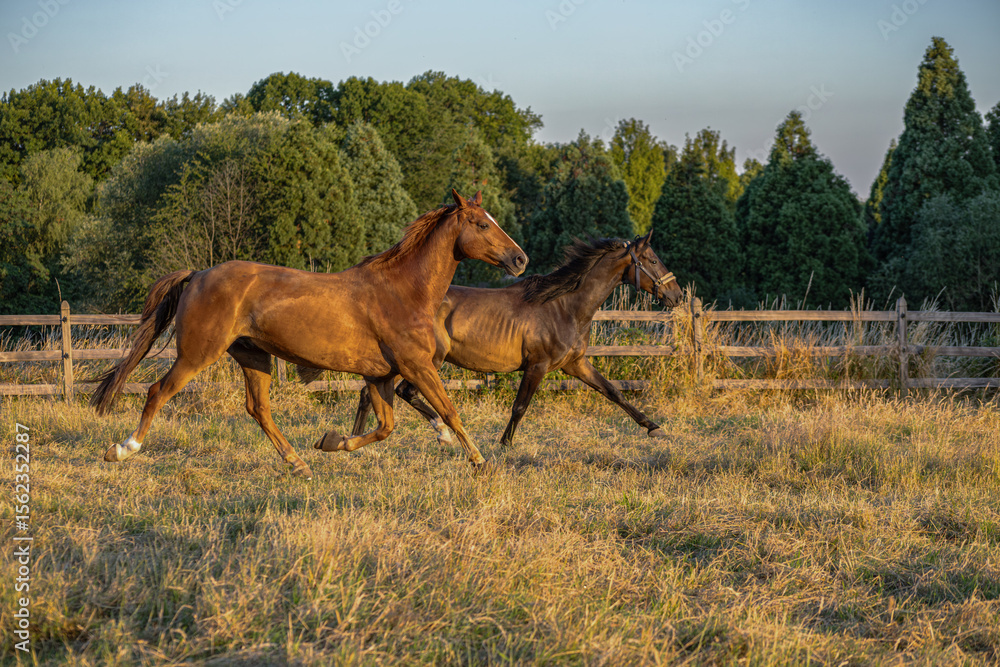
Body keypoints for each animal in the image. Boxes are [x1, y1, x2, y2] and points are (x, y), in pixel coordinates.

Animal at [91, 190, 527, 479]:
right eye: (482, 224)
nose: (520, 259)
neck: (402, 291)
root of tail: (198, 274)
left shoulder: (380, 376)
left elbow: (386, 427)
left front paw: (332, 442)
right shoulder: (417, 366)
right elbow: (449, 411)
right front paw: (479, 460)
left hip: (254, 357)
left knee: (259, 409)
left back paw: (298, 462)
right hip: (197, 354)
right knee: (157, 392)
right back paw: (122, 449)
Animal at [325, 231, 683, 449]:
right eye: (652, 260)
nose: (676, 295)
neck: (563, 306)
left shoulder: (575, 364)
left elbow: (613, 391)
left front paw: (653, 426)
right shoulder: (538, 365)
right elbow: (520, 405)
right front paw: (505, 443)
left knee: (371, 393)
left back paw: (355, 437)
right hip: (423, 361)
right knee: (401, 393)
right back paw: (438, 433)